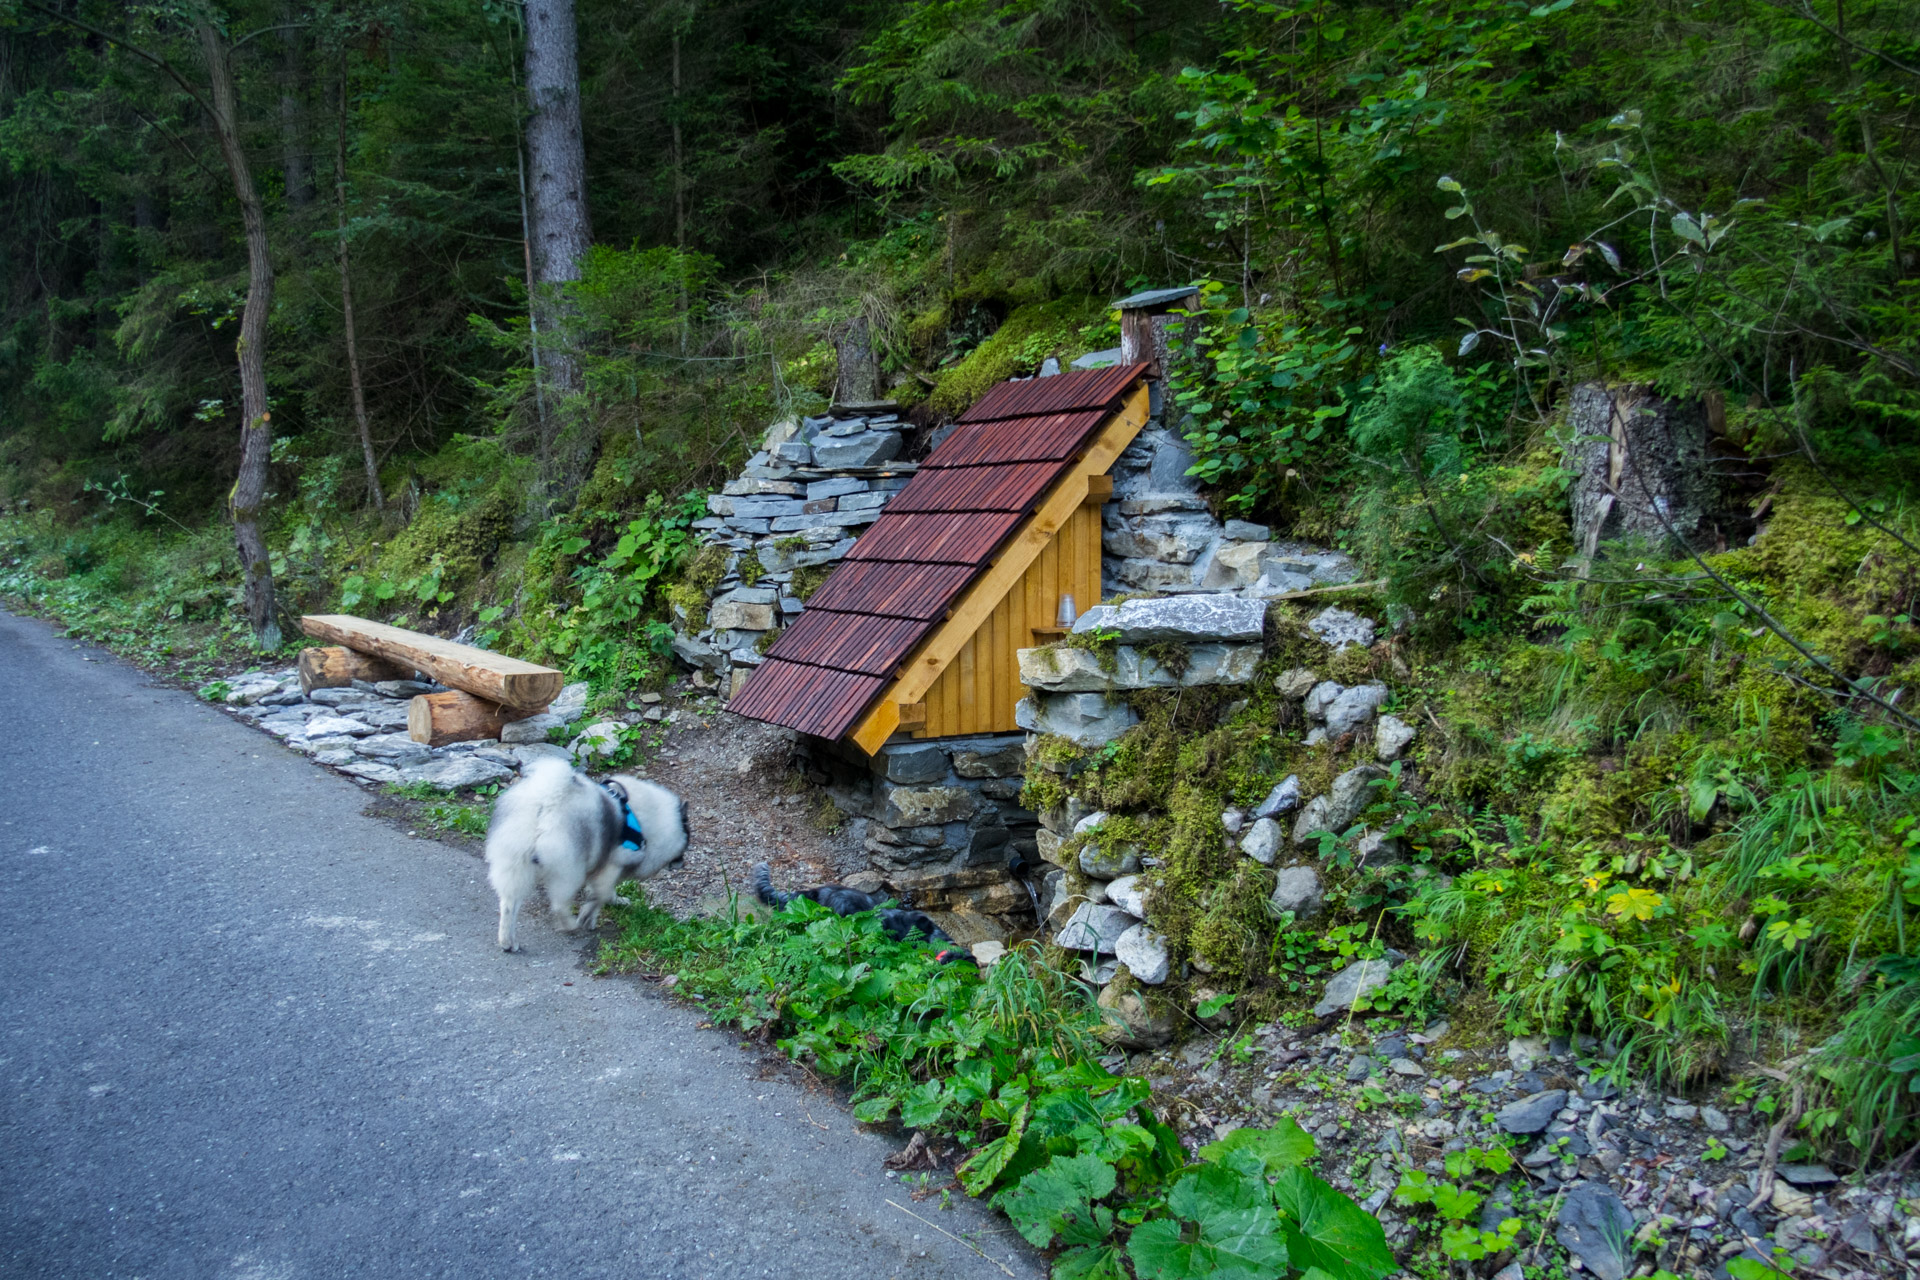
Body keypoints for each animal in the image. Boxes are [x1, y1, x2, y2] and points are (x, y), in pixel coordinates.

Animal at [487, 759, 691, 951]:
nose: (682, 863)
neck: (648, 822)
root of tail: (547, 804)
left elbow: (605, 893)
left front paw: (615, 901)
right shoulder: (612, 865)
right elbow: (601, 895)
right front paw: (589, 917)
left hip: (516, 866)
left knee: (508, 905)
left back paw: (507, 942)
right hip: (569, 871)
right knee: (559, 905)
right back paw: (569, 925)